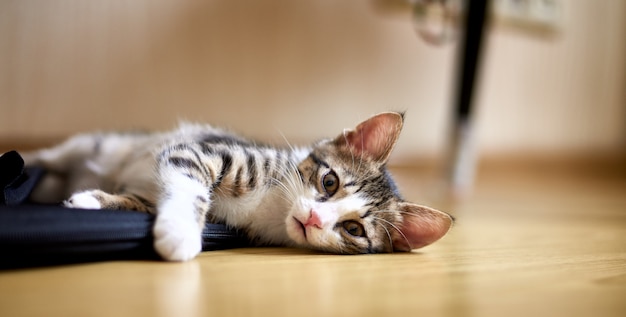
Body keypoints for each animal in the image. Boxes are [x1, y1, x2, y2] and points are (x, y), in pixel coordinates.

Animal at [20, 112, 448, 260]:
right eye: (329, 182)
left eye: (354, 229)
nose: (313, 217)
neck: (272, 208)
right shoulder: (200, 152)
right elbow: (192, 187)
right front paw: (181, 233)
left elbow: (140, 200)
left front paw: (94, 200)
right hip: (94, 144)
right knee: (49, 156)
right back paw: (25, 161)